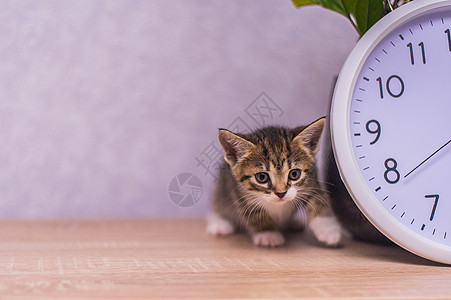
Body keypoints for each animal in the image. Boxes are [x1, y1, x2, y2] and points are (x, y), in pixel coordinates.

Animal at [208, 118, 342, 247]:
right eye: (262, 177)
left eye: (294, 174)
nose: (281, 193)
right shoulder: (238, 192)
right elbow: (256, 213)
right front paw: (268, 234)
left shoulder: (311, 181)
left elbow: (317, 198)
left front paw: (328, 229)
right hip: (222, 187)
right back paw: (219, 224)